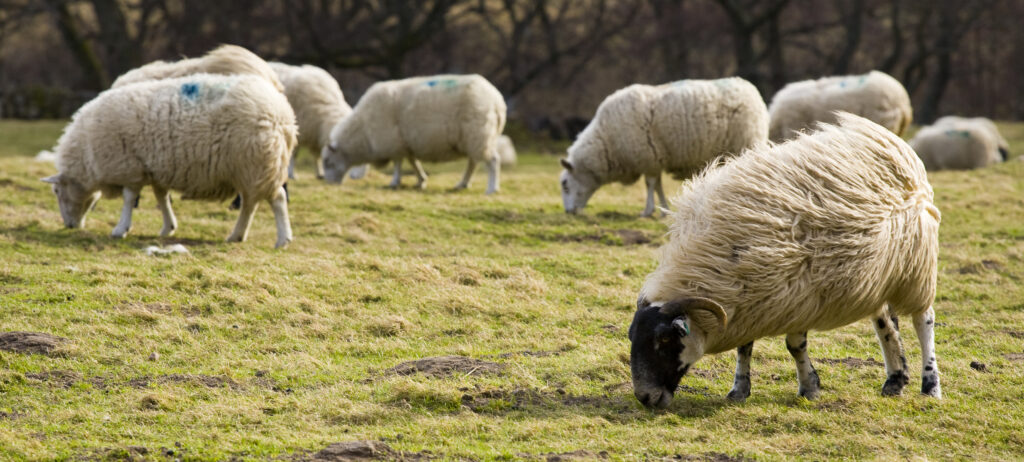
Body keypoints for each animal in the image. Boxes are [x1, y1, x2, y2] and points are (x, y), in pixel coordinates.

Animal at [42, 74, 297, 248]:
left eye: (56, 191)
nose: (69, 226)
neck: (87, 158)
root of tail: (283, 115)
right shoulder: (156, 170)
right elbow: (162, 198)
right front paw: (168, 227)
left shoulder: (130, 167)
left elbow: (129, 199)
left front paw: (121, 228)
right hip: (251, 169)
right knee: (249, 204)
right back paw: (237, 235)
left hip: (257, 164)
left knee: (277, 199)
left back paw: (282, 239)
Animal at [320, 74, 507, 194]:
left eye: (328, 161)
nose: (328, 183)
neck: (363, 131)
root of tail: (497, 100)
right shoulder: (405, 143)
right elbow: (413, 162)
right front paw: (421, 180)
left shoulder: (392, 142)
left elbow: (397, 164)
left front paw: (394, 182)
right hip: (474, 138)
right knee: (473, 163)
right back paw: (463, 184)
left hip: (479, 134)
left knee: (493, 161)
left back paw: (492, 188)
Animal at [559, 77, 769, 217]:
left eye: (566, 186)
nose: (568, 212)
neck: (606, 141)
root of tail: (749, 87)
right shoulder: (654, 158)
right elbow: (658, 185)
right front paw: (663, 209)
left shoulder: (647, 157)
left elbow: (650, 184)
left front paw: (648, 211)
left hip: (746, 142)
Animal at [628, 113, 941, 409]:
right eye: (632, 336)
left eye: (665, 339)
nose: (645, 397)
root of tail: (890, 139)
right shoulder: (749, 298)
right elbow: (745, 347)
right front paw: (739, 390)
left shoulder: (798, 293)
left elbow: (794, 345)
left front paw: (809, 388)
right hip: (881, 274)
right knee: (885, 323)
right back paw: (895, 380)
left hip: (917, 267)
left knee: (923, 320)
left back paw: (930, 386)